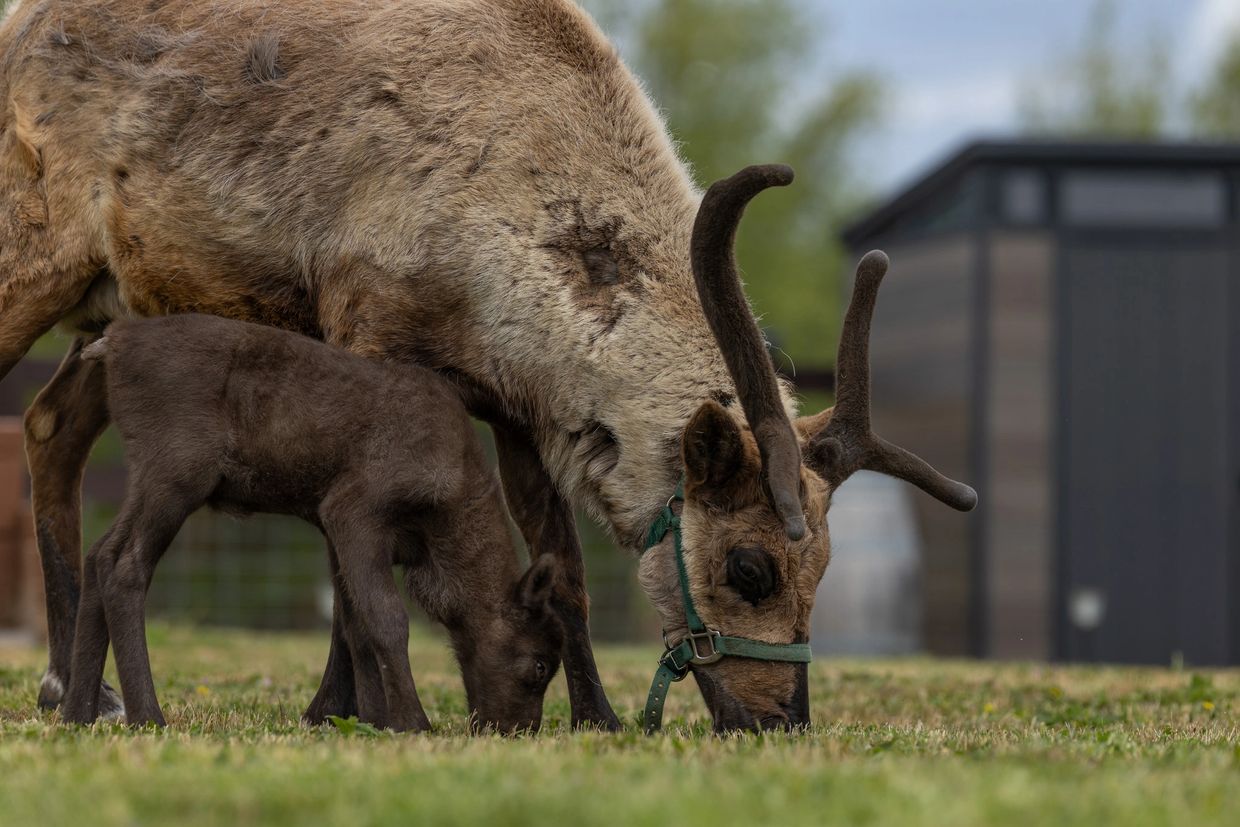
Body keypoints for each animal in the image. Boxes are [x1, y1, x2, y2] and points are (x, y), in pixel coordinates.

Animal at [60, 313, 565, 732]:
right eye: (539, 665)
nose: (516, 729)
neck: (445, 527)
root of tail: (110, 344)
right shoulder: (353, 507)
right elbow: (386, 617)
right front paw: (411, 722)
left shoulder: (331, 523)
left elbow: (352, 623)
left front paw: (373, 721)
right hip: (177, 470)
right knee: (125, 564)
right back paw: (148, 715)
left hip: (152, 473)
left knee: (98, 552)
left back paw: (77, 713)